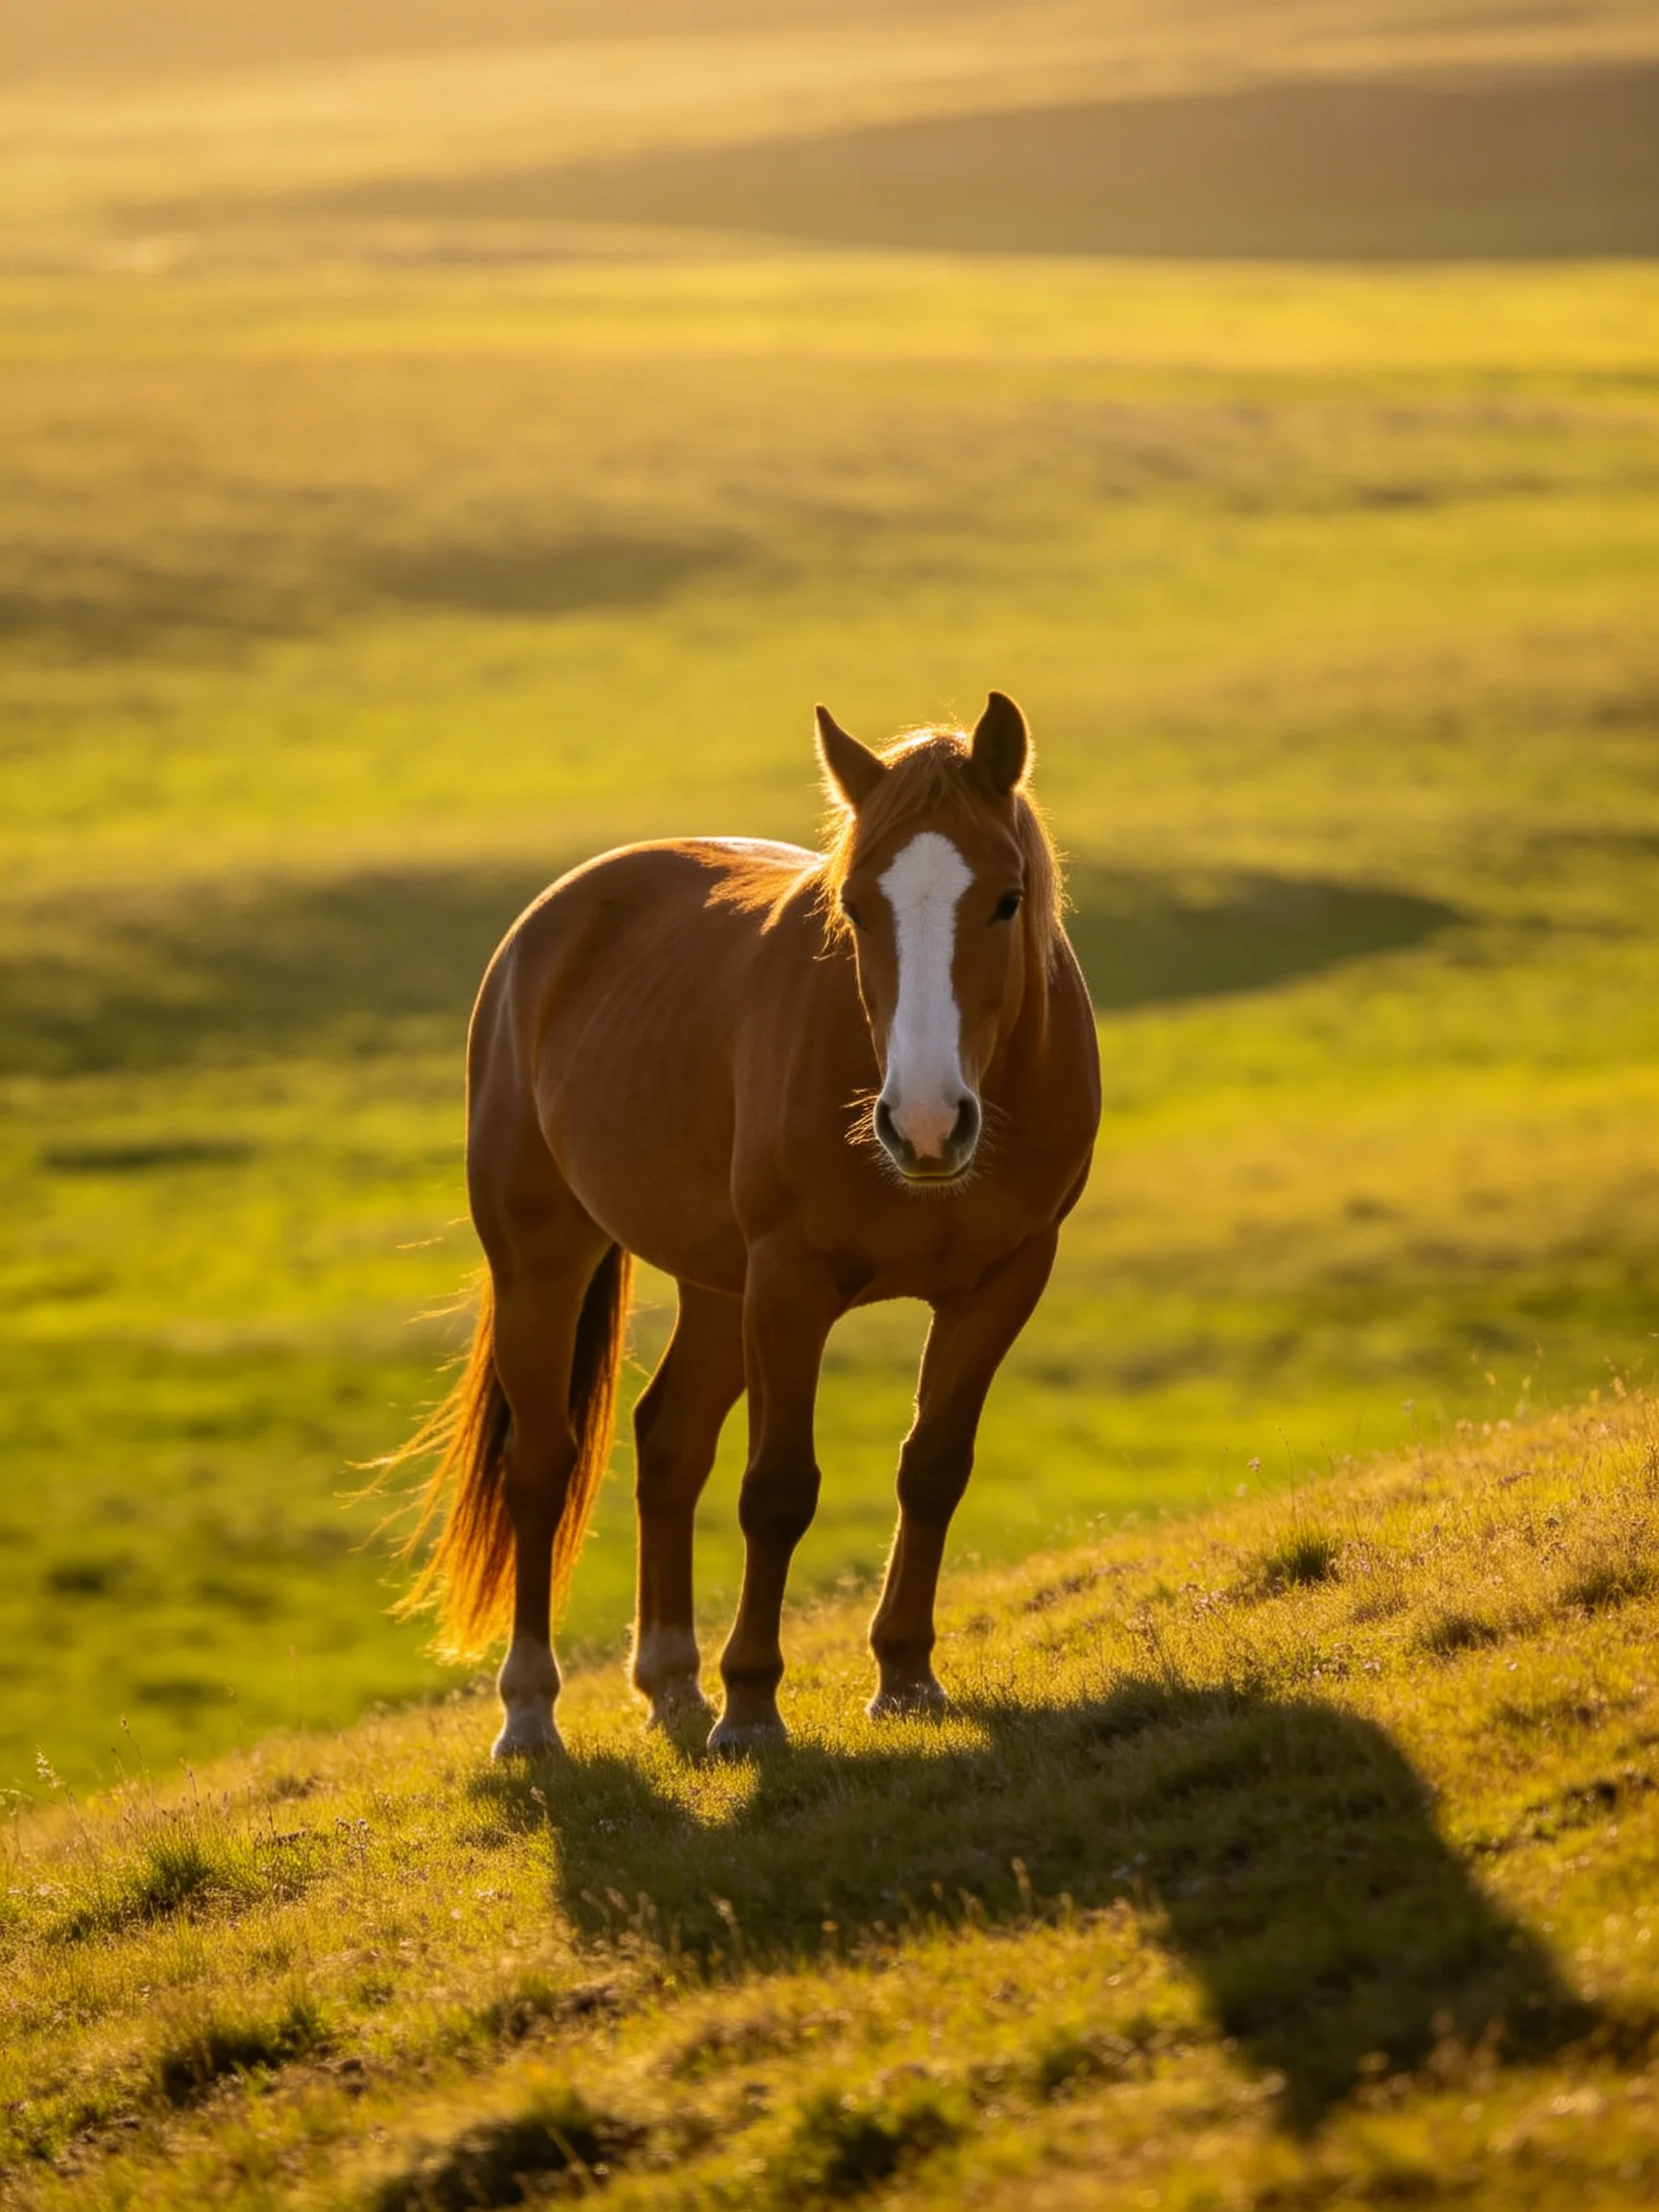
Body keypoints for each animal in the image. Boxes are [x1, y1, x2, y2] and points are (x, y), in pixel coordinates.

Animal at [389, 691, 1100, 1758]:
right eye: (856, 907)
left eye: (1006, 900)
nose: (926, 1123)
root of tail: (548, 923)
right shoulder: (791, 1285)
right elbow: (777, 1491)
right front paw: (754, 1708)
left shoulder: (1005, 1279)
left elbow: (933, 1467)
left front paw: (905, 1677)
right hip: (543, 1261)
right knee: (541, 1465)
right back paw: (531, 1712)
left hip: (720, 1289)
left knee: (669, 1443)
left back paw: (672, 1683)